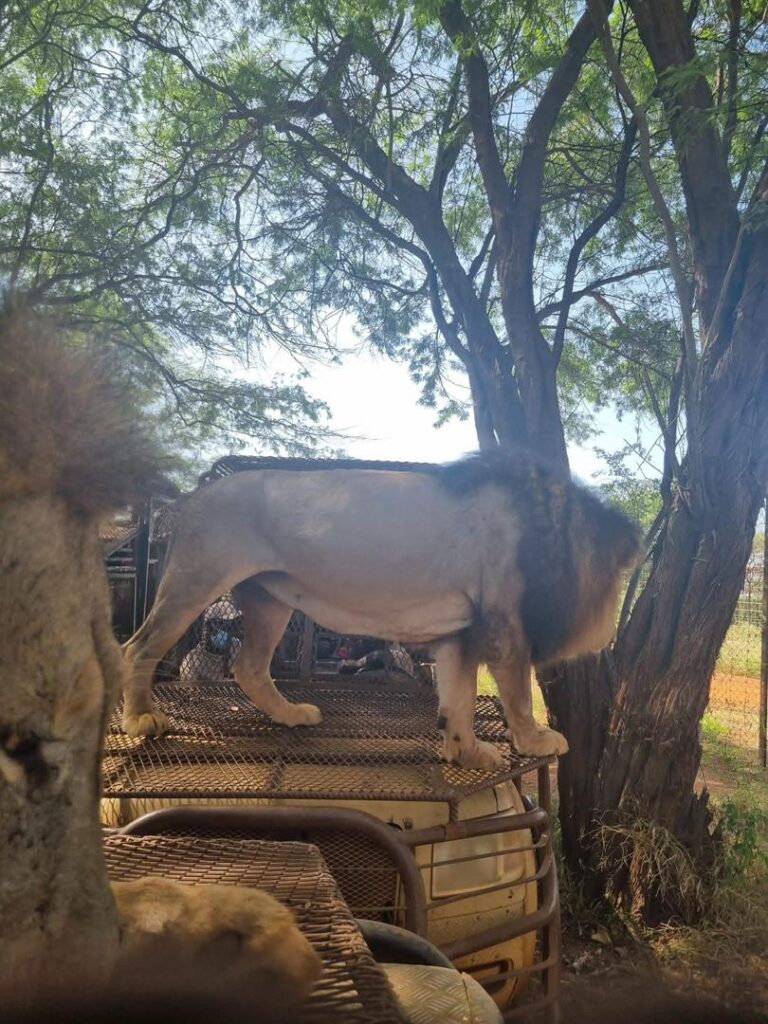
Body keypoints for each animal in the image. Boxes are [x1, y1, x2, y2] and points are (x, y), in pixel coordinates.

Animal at [123, 452, 643, 769]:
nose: (610, 631)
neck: (552, 527)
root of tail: (190, 498)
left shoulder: (461, 635)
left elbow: (459, 700)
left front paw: (467, 753)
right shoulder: (504, 627)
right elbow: (515, 696)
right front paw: (535, 741)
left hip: (269, 600)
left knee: (249, 667)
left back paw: (291, 714)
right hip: (194, 580)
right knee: (138, 647)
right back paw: (141, 719)